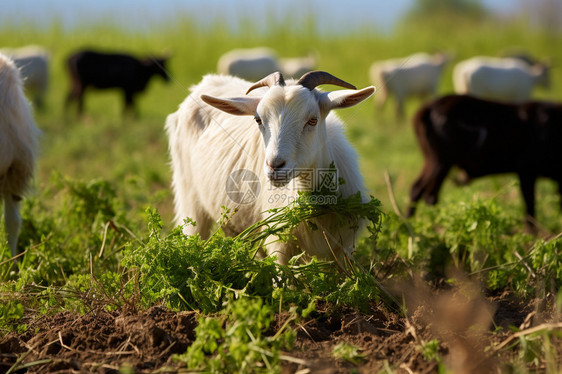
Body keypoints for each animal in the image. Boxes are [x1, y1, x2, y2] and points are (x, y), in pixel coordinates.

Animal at [404, 93, 560, 231]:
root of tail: (428, 107)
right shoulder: (527, 171)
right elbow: (530, 206)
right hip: (442, 162)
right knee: (430, 195)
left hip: (430, 160)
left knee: (417, 189)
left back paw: (409, 223)